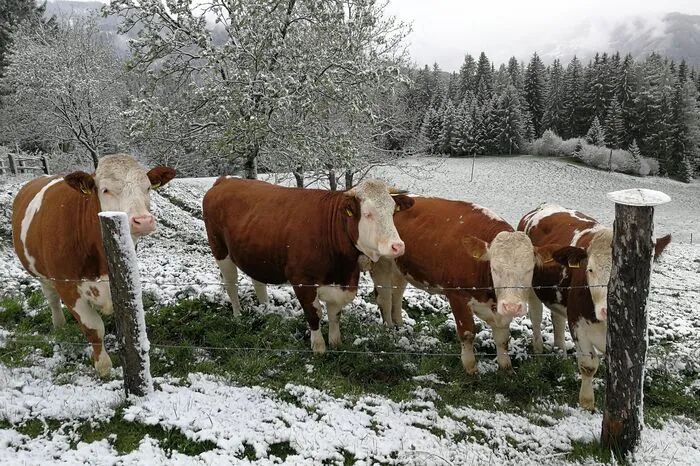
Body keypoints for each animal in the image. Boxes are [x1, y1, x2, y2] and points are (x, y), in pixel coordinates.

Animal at [11, 154, 176, 377]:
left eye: (148, 187)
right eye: (105, 190)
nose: (143, 221)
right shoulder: (68, 288)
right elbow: (94, 328)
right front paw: (103, 366)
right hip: (41, 274)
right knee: (52, 299)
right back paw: (59, 325)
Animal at [202, 177, 415, 354]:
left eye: (392, 212)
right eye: (368, 214)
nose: (398, 246)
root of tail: (226, 180)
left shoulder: (340, 283)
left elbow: (335, 314)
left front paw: (336, 343)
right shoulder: (301, 280)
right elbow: (314, 314)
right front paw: (319, 348)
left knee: (258, 282)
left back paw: (266, 309)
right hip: (220, 250)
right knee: (231, 284)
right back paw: (238, 315)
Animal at [365, 197, 568, 373]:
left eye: (529, 269)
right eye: (494, 268)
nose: (512, 306)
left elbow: (503, 338)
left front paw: (506, 368)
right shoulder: (457, 296)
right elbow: (468, 332)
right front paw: (471, 368)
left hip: (400, 267)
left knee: (397, 294)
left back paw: (399, 326)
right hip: (382, 263)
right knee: (384, 298)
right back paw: (389, 330)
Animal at [518, 203, 671, 410]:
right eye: (590, 269)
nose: (607, 309)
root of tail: (544, 206)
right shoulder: (578, 323)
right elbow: (588, 365)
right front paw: (587, 402)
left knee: (557, 319)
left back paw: (560, 353)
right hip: (531, 289)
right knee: (536, 317)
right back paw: (539, 351)